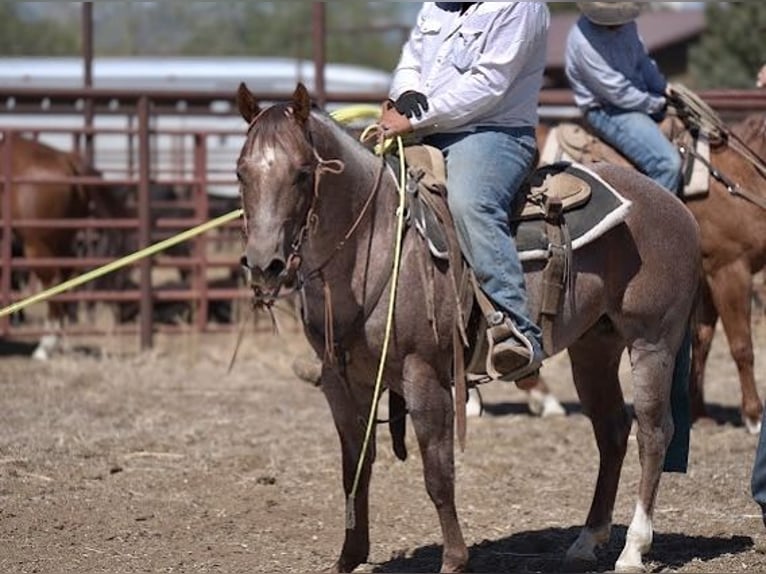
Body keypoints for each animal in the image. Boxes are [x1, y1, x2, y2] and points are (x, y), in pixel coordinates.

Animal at [0, 133, 129, 359]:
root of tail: (65, 159)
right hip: (61, 239)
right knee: (65, 278)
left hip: (37, 244)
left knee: (52, 282)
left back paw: (46, 345)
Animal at [236, 83, 701, 573]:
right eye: (241, 173)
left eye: (302, 173)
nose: (265, 265)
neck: (374, 243)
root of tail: (674, 205)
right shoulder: (341, 383)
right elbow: (355, 467)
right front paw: (351, 556)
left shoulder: (424, 376)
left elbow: (438, 474)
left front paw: (454, 559)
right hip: (594, 348)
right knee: (611, 431)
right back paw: (587, 540)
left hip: (653, 342)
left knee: (652, 433)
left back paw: (633, 549)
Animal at [536, 106, 766, 434]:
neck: (738, 178)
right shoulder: (730, 270)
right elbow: (741, 345)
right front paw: (754, 416)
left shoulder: (707, 279)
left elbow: (702, 341)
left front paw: (699, 413)